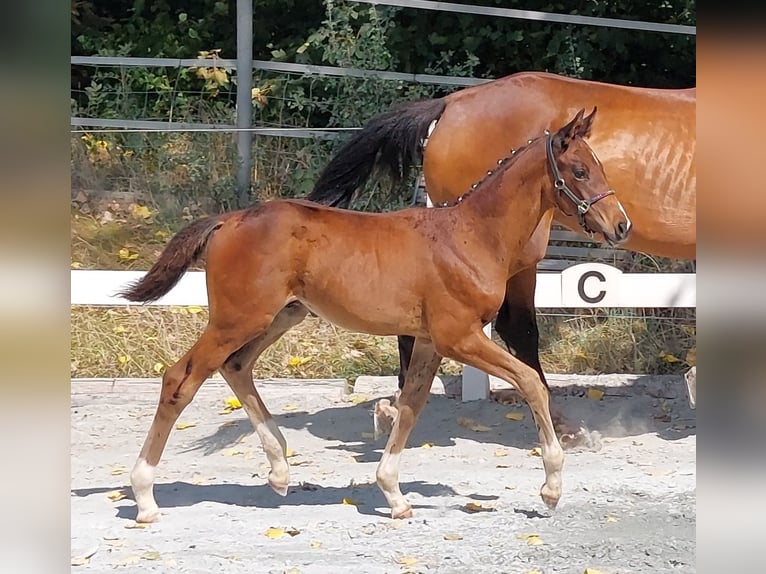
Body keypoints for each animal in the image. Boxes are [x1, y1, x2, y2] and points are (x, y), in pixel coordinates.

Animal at [120, 109, 632, 528]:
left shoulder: (428, 341)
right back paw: (145, 497)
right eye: (580, 170)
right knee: (180, 379)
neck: (470, 236)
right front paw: (551, 488)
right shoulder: (459, 337)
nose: (621, 224)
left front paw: (394, 495)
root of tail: (229, 220)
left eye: (601, 166)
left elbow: (410, 405)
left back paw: (280, 471)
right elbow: (530, 383)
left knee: (236, 367)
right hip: (236, 320)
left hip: (281, 316)